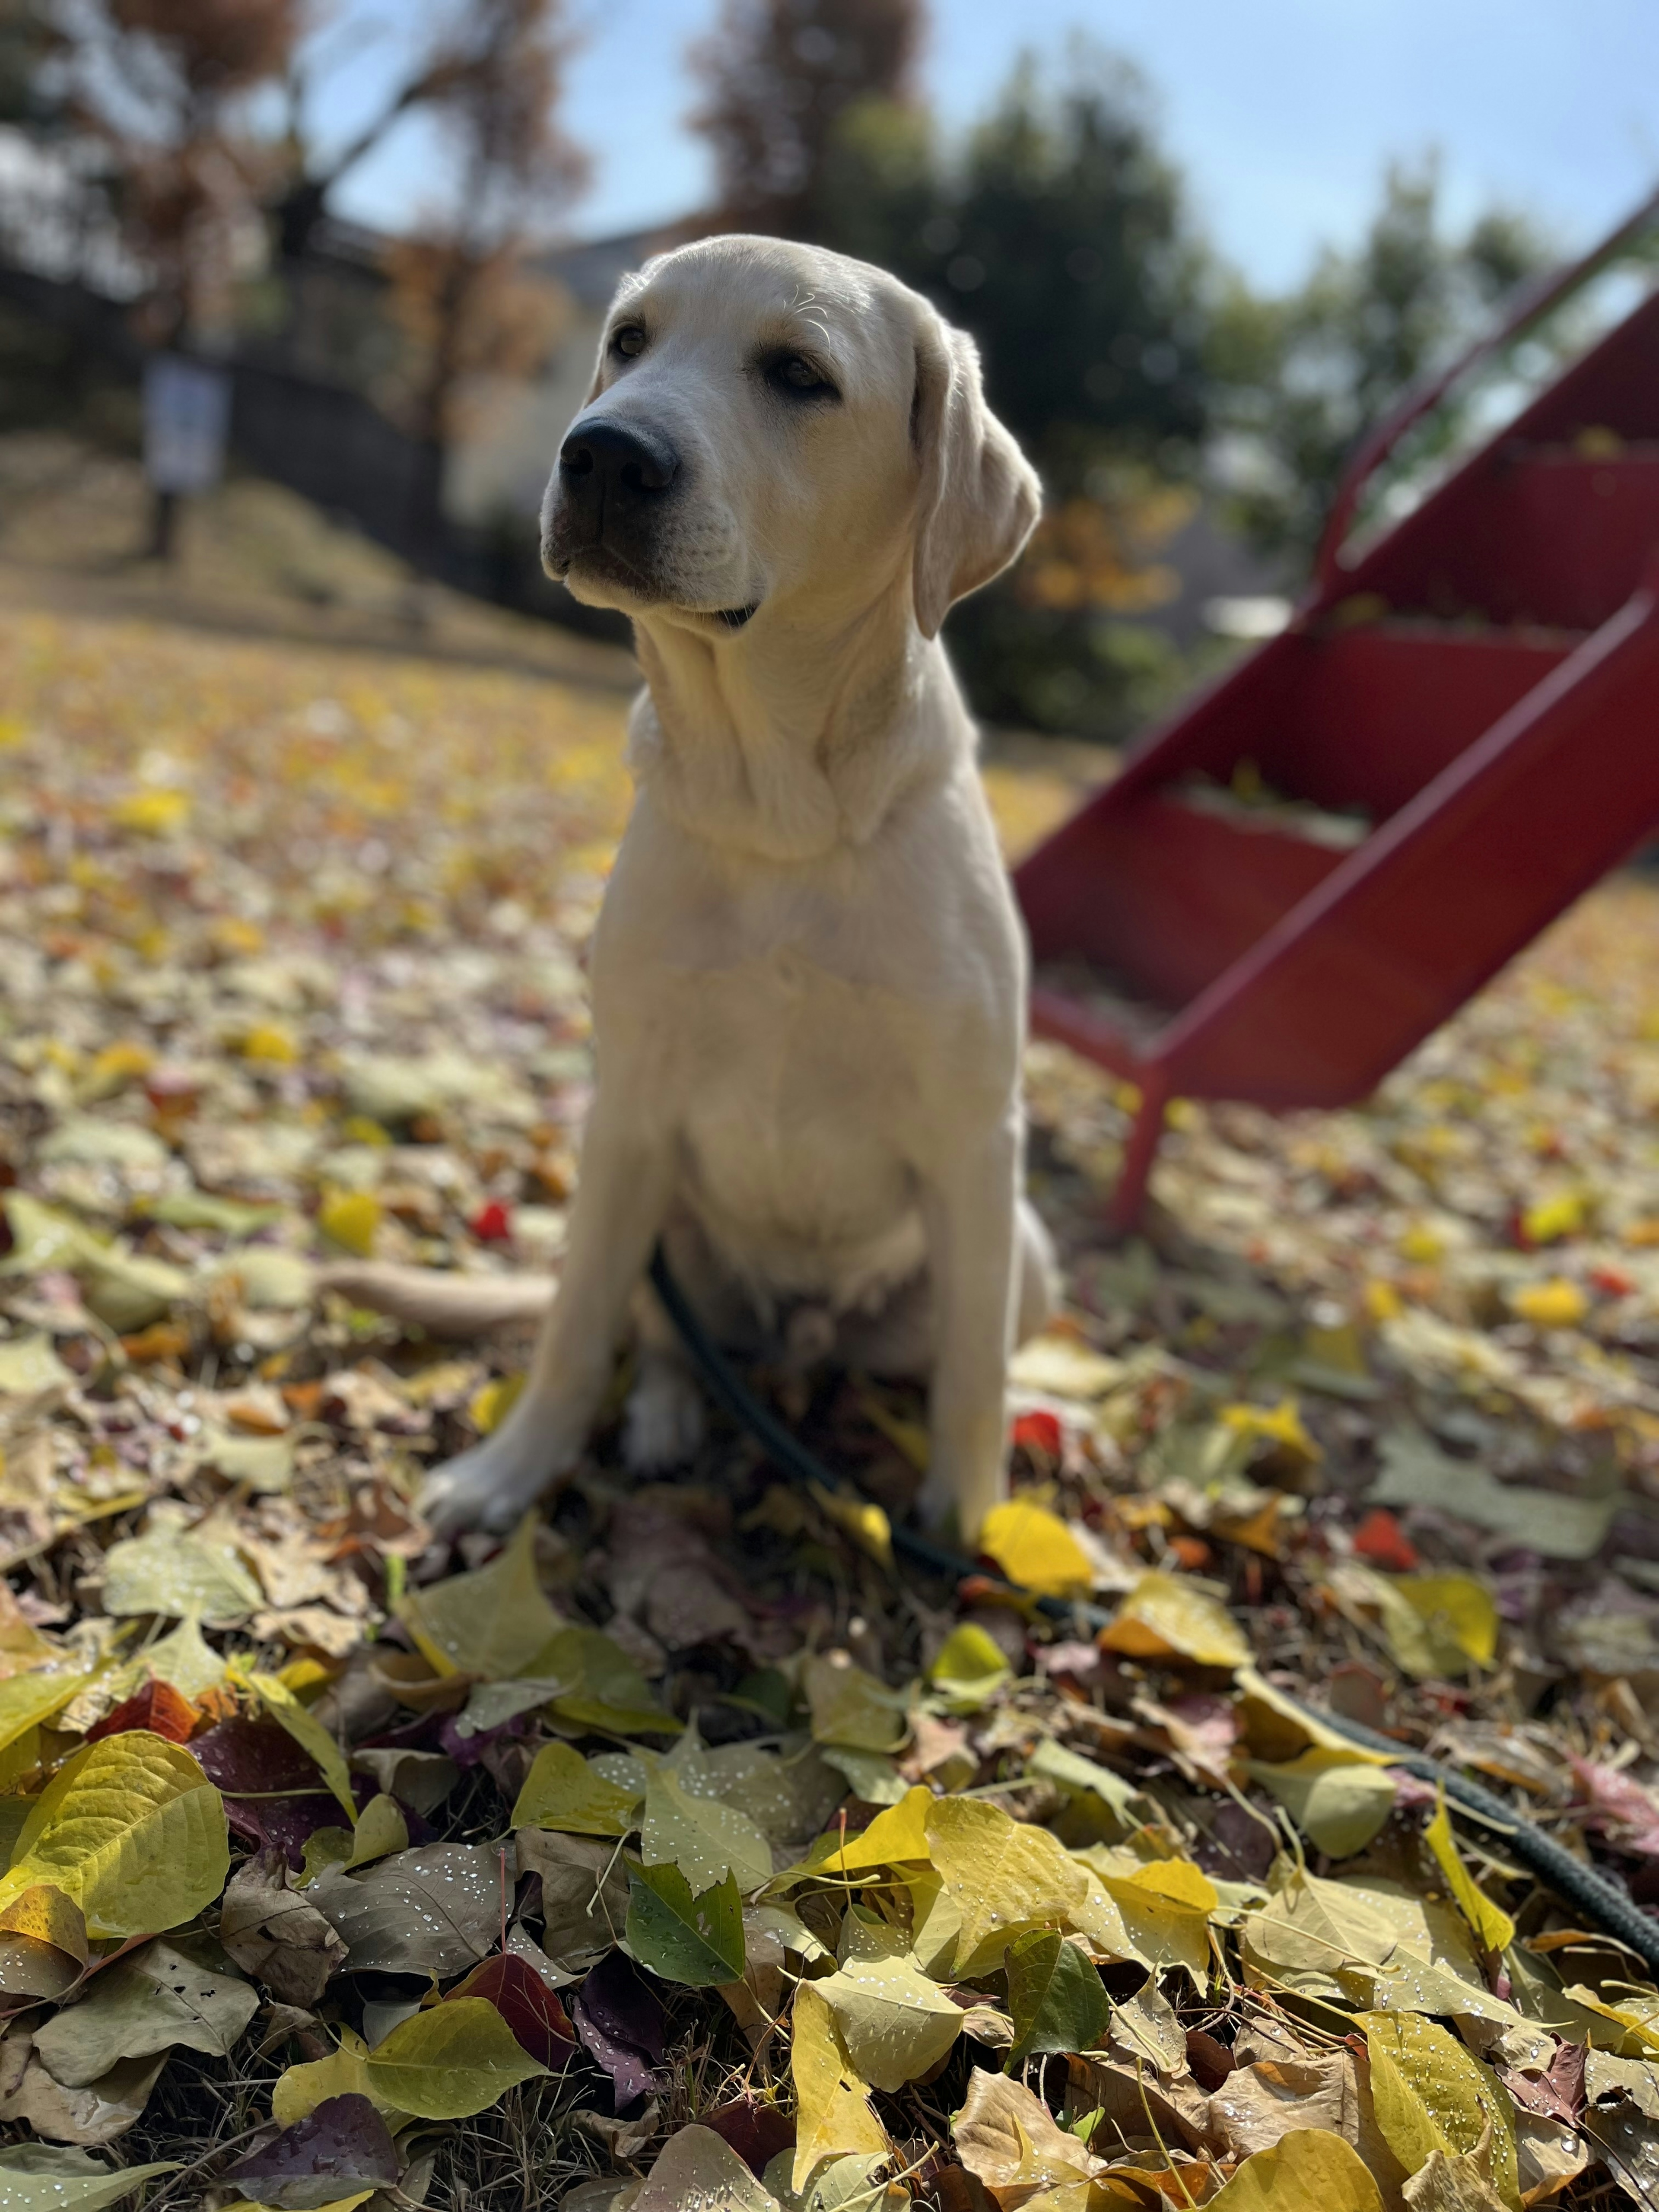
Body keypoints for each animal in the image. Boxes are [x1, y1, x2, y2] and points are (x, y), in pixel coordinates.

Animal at [336, 233, 1057, 1531]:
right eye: (629, 341)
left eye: (800, 374)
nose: (604, 454)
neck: (778, 816)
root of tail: (795, 1341)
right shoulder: (629, 1109)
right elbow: (575, 1328)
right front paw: (513, 1469)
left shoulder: (977, 1139)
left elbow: (973, 1376)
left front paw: (967, 1522)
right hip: (659, 1208)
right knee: (661, 1337)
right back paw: (667, 1417)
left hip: (1022, 1247)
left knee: (951, 1354)